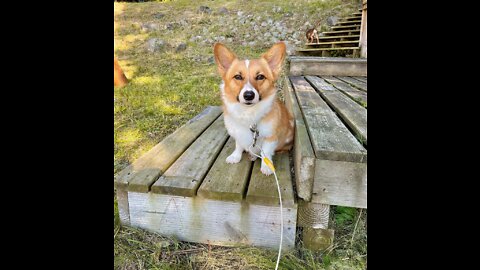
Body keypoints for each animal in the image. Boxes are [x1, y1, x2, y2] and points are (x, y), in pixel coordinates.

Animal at [213, 42, 292, 175]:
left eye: (260, 76)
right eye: (238, 76)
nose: (249, 95)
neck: (248, 113)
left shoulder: (271, 137)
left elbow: (266, 152)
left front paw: (266, 166)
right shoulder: (238, 133)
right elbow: (238, 146)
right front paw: (235, 156)